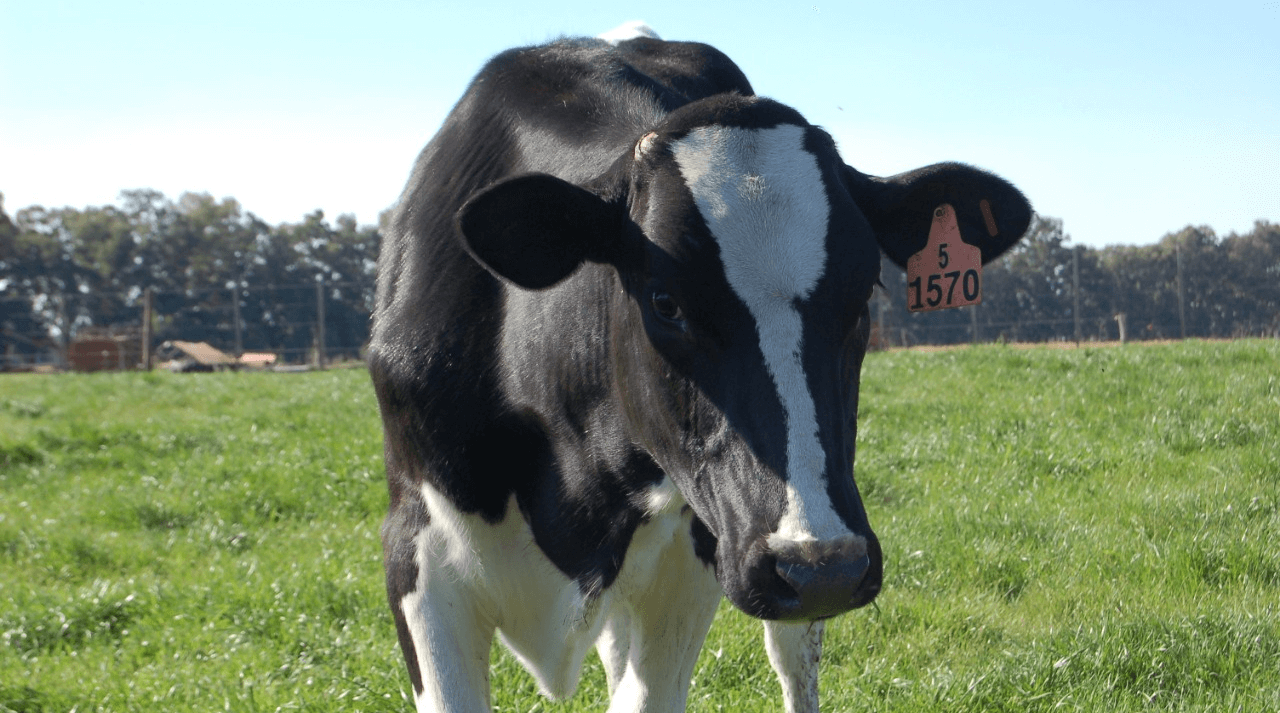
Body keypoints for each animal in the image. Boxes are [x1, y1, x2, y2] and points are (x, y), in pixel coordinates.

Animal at [368, 22, 1029, 711]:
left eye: (863, 294)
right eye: (666, 302)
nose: (820, 565)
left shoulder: (692, 559)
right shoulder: (416, 552)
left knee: (794, 663)